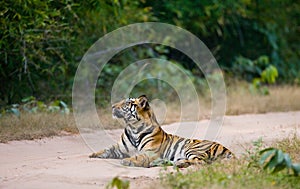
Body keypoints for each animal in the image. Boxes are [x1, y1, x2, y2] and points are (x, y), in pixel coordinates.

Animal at [89, 95, 234, 168]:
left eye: (126, 103)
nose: (112, 106)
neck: (133, 128)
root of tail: (226, 148)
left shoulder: (150, 152)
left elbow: (138, 156)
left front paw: (127, 161)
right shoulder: (119, 149)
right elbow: (106, 150)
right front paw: (92, 155)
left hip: (193, 149)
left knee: (201, 162)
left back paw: (176, 164)